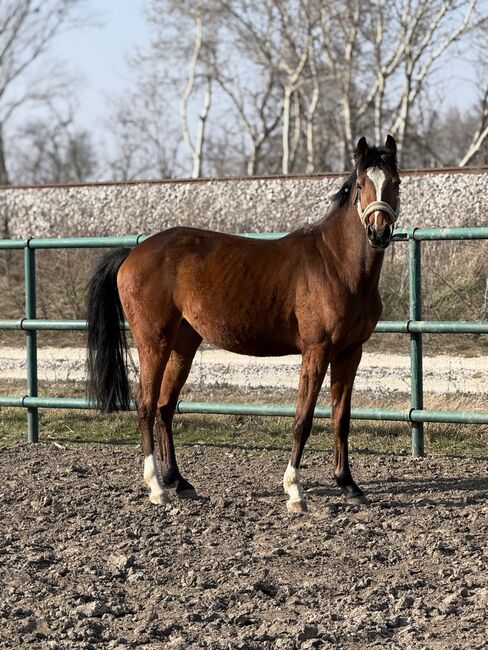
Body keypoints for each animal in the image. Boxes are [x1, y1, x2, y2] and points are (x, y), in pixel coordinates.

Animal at [86, 135, 400, 513]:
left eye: (395, 182)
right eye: (361, 184)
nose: (378, 232)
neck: (337, 265)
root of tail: (132, 254)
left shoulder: (350, 352)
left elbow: (341, 419)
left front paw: (349, 485)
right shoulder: (317, 350)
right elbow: (303, 419)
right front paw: (294, 491)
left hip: (183, 345)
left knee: (164, 408)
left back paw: (180, 482)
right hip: (153, 342)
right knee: (146, 405)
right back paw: (157, 487)